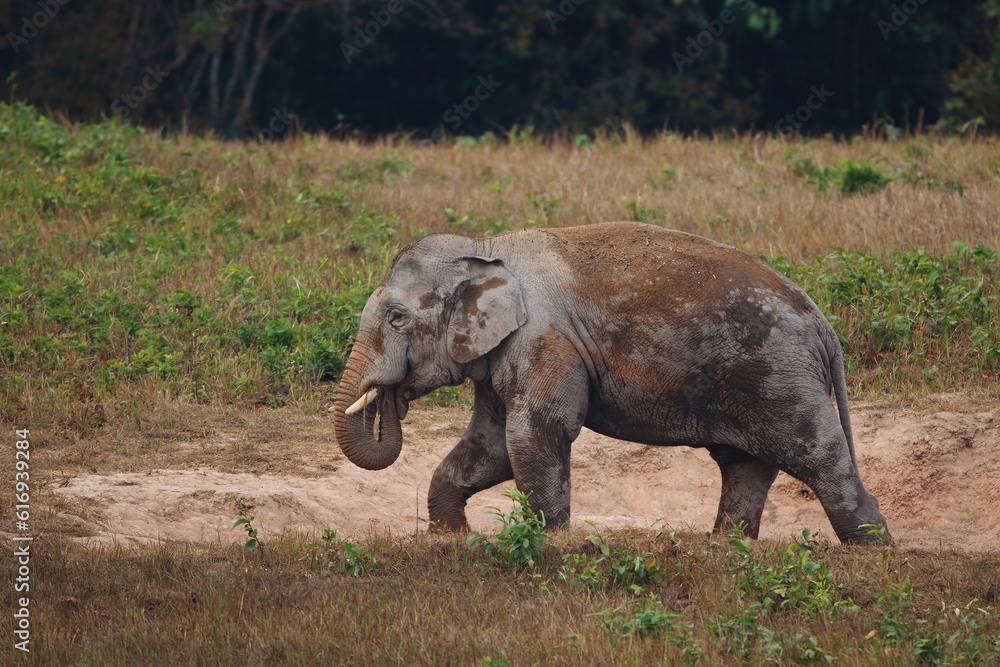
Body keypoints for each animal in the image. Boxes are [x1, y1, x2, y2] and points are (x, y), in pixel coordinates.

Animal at [332, 221, 890, 544]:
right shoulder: (504, 354)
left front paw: (551, 544)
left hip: (777, 372)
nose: (390, 402)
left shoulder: (545, 339)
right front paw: (452, 541)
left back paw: (870, 551)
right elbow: (490, 446)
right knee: (744, 464)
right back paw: (725, 549)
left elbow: (534, 433)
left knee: (817, 454)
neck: (484, 248)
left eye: (397, 318)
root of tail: (823, 325)